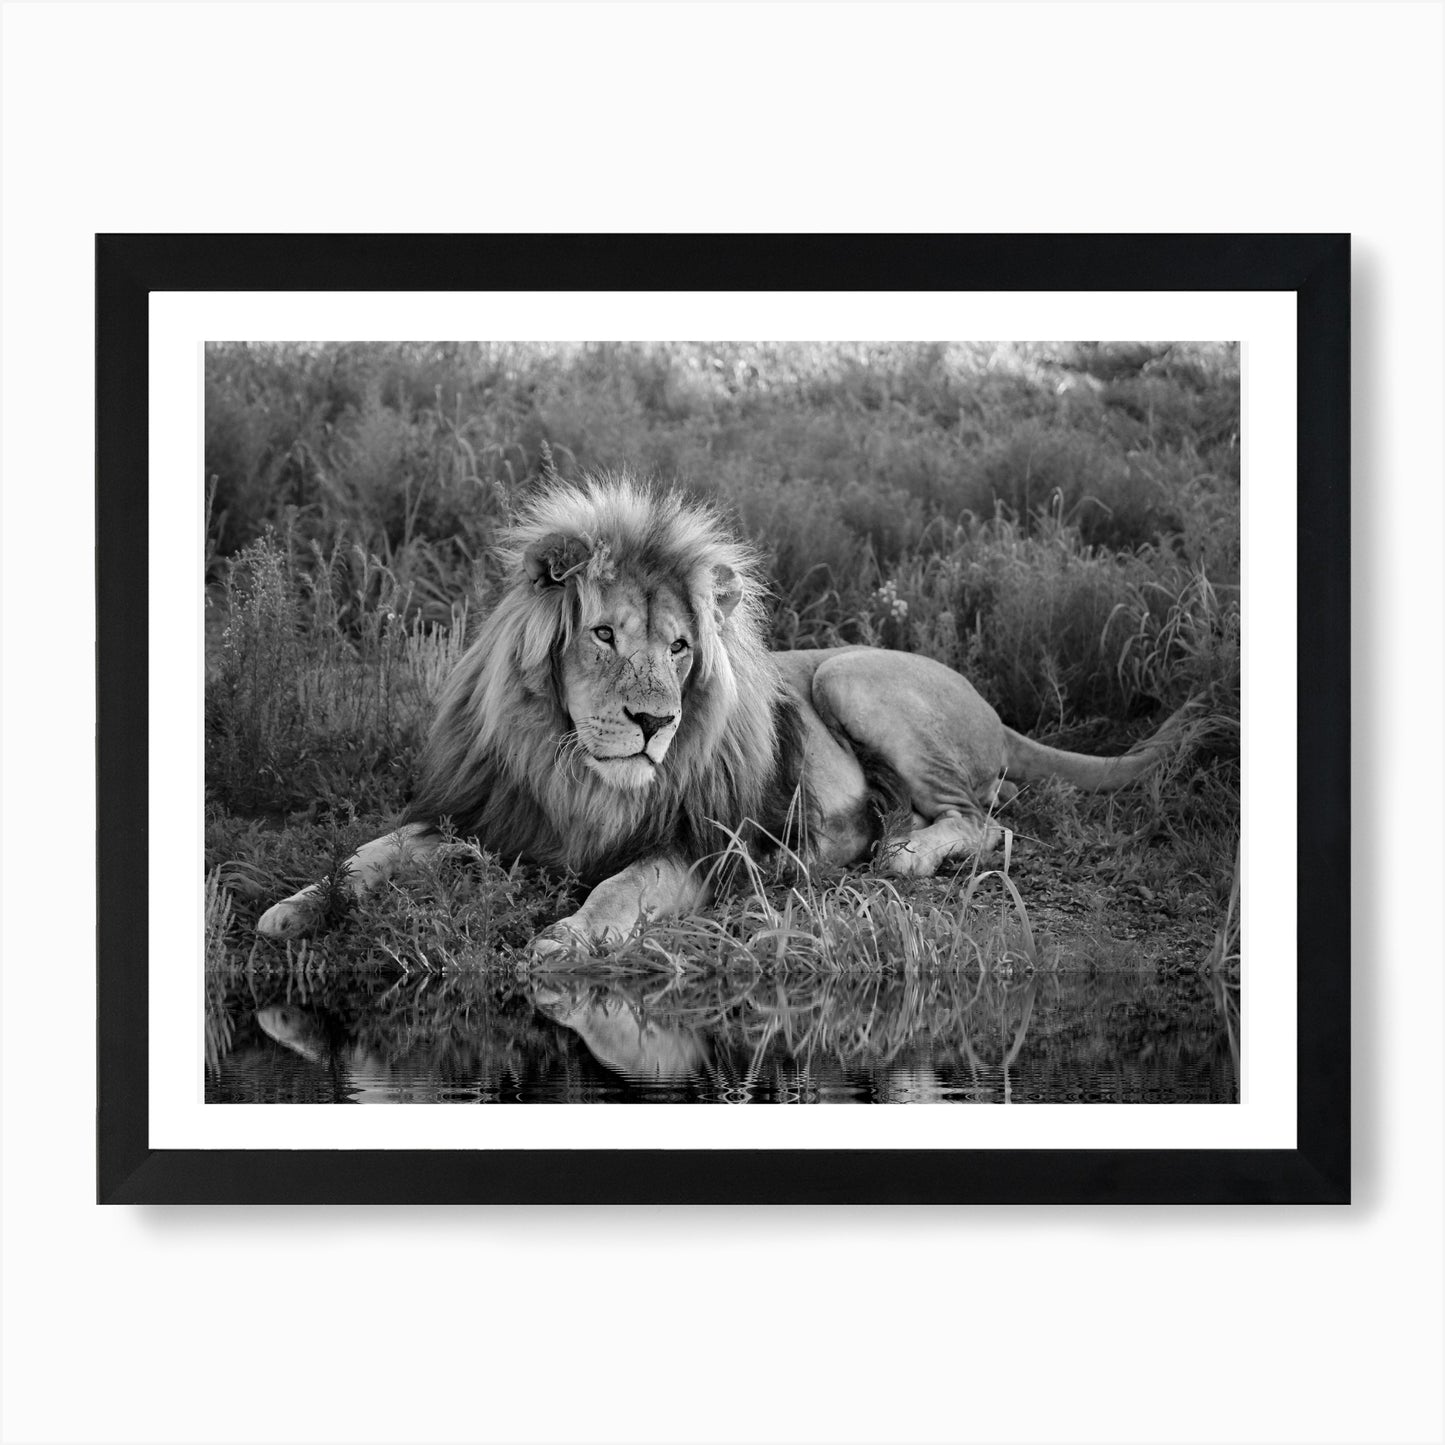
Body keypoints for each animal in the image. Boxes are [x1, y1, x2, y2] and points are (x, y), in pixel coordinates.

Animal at [257, 475, 1190, 956]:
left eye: (678, 647)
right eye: (602, 633)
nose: (651, 723)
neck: (574, 770)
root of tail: (994, 708)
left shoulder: (707, 846)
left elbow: (623, 883)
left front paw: (569, 935)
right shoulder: (482, 815)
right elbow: (368, 852)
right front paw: (295, 907)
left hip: (851, 672)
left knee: (989, 823)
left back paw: (906, 852)